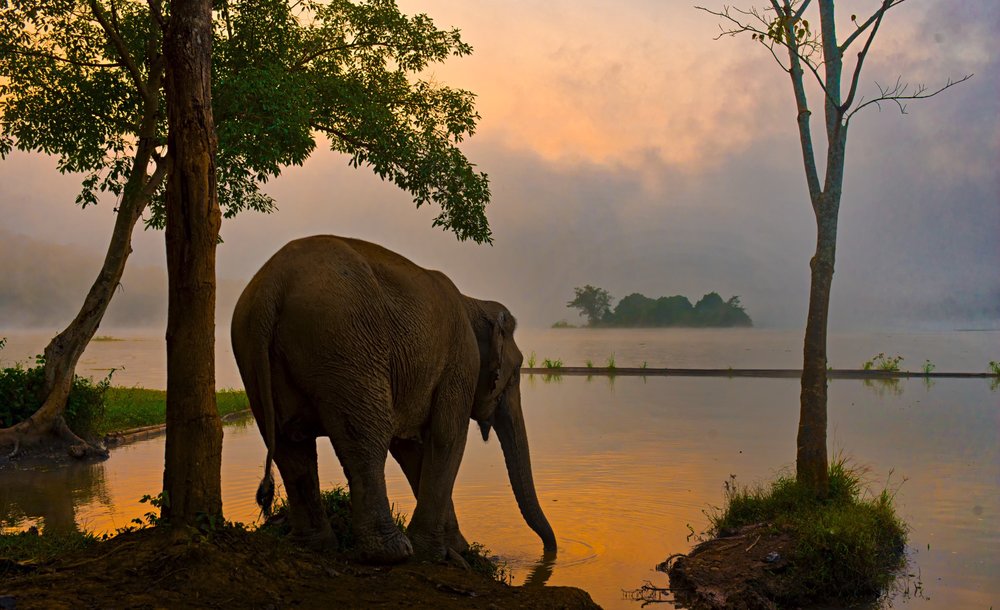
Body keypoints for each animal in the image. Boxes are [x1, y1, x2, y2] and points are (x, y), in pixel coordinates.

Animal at [231, 235, 556, 563]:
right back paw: (394, 551)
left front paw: (458, 548)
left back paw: (314, 545)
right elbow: (447, 437)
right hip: (347, 342)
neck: (472, 301)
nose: (550, 553)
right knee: (367, 437)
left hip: (253, 354)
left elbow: (411, 448)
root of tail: (272, 286)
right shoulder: (461, 361)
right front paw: (437, 553)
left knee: (290, 446)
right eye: (515, 374)